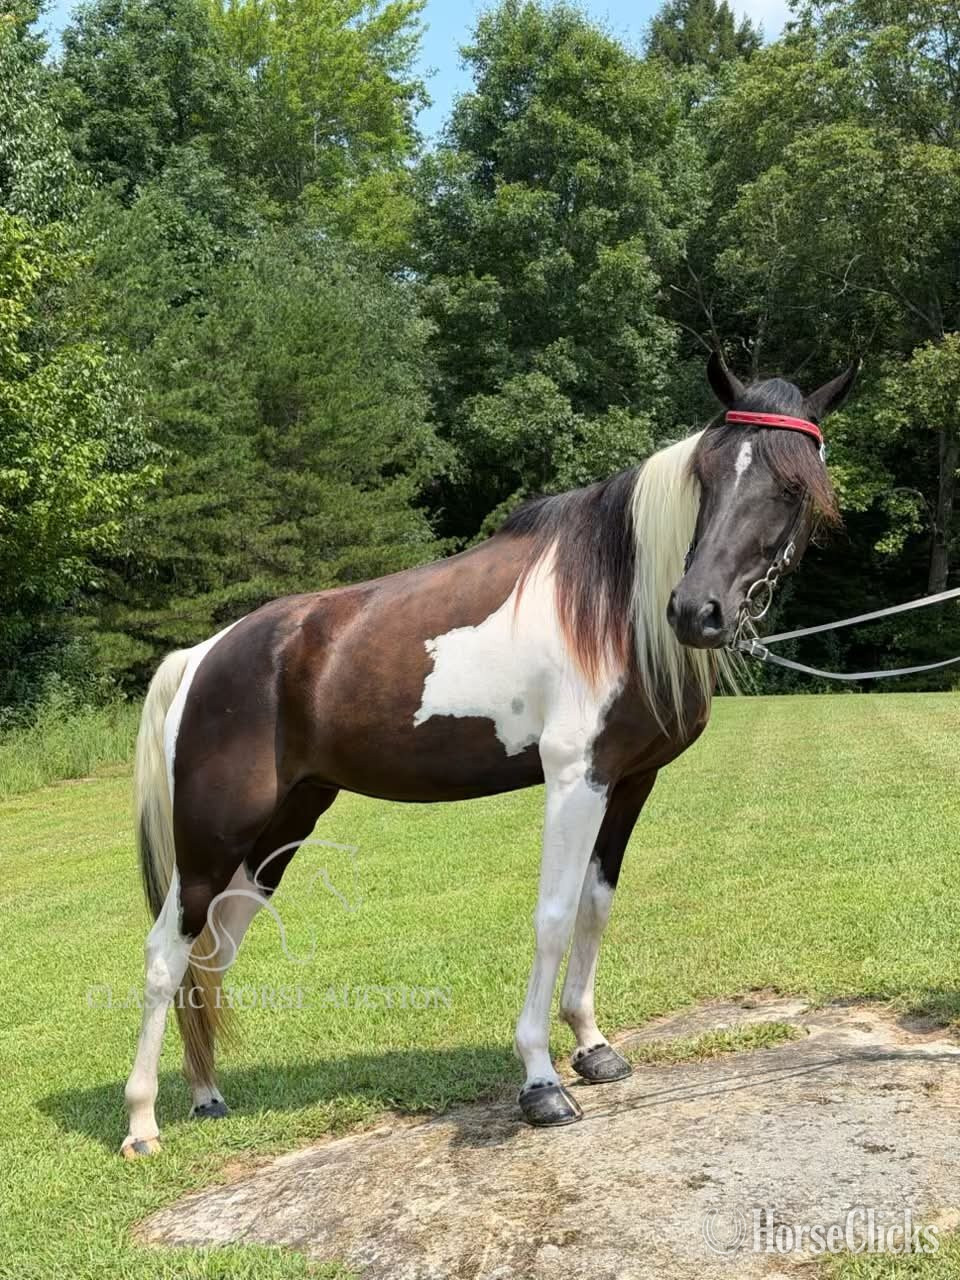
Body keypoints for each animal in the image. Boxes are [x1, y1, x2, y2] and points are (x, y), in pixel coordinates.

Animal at [120, 352, 857, 1157]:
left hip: (277, 834)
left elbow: (596, 907)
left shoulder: (628, 782)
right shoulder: (574, 779)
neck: (610, 606)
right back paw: (142, 1124)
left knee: (211, 953)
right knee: (164, 954)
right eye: (708, 475)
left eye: (792, 488)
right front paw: (541, 1081)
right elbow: (553, 915)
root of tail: (203, 656)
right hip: (212, 836)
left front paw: (593, 1046)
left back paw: (207, 1096)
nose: (698, 611)